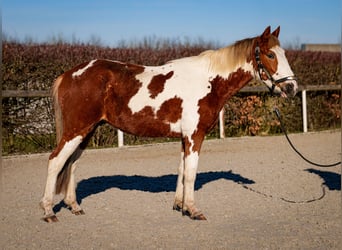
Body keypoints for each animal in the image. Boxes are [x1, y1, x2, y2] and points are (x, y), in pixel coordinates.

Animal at [40, 26, 296, 223]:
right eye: (270, 55)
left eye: (283, 53)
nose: (291, 87)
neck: (208, 81)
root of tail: (69, 74)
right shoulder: (195, 136)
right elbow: (191, 173)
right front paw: (194, 210)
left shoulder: (185, 137)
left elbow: (182, 170)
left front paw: (180, 206)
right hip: (77, 129)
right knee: (55, 161)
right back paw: (49, 211)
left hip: (87, 130)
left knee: (72, 164)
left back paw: (74, 206)